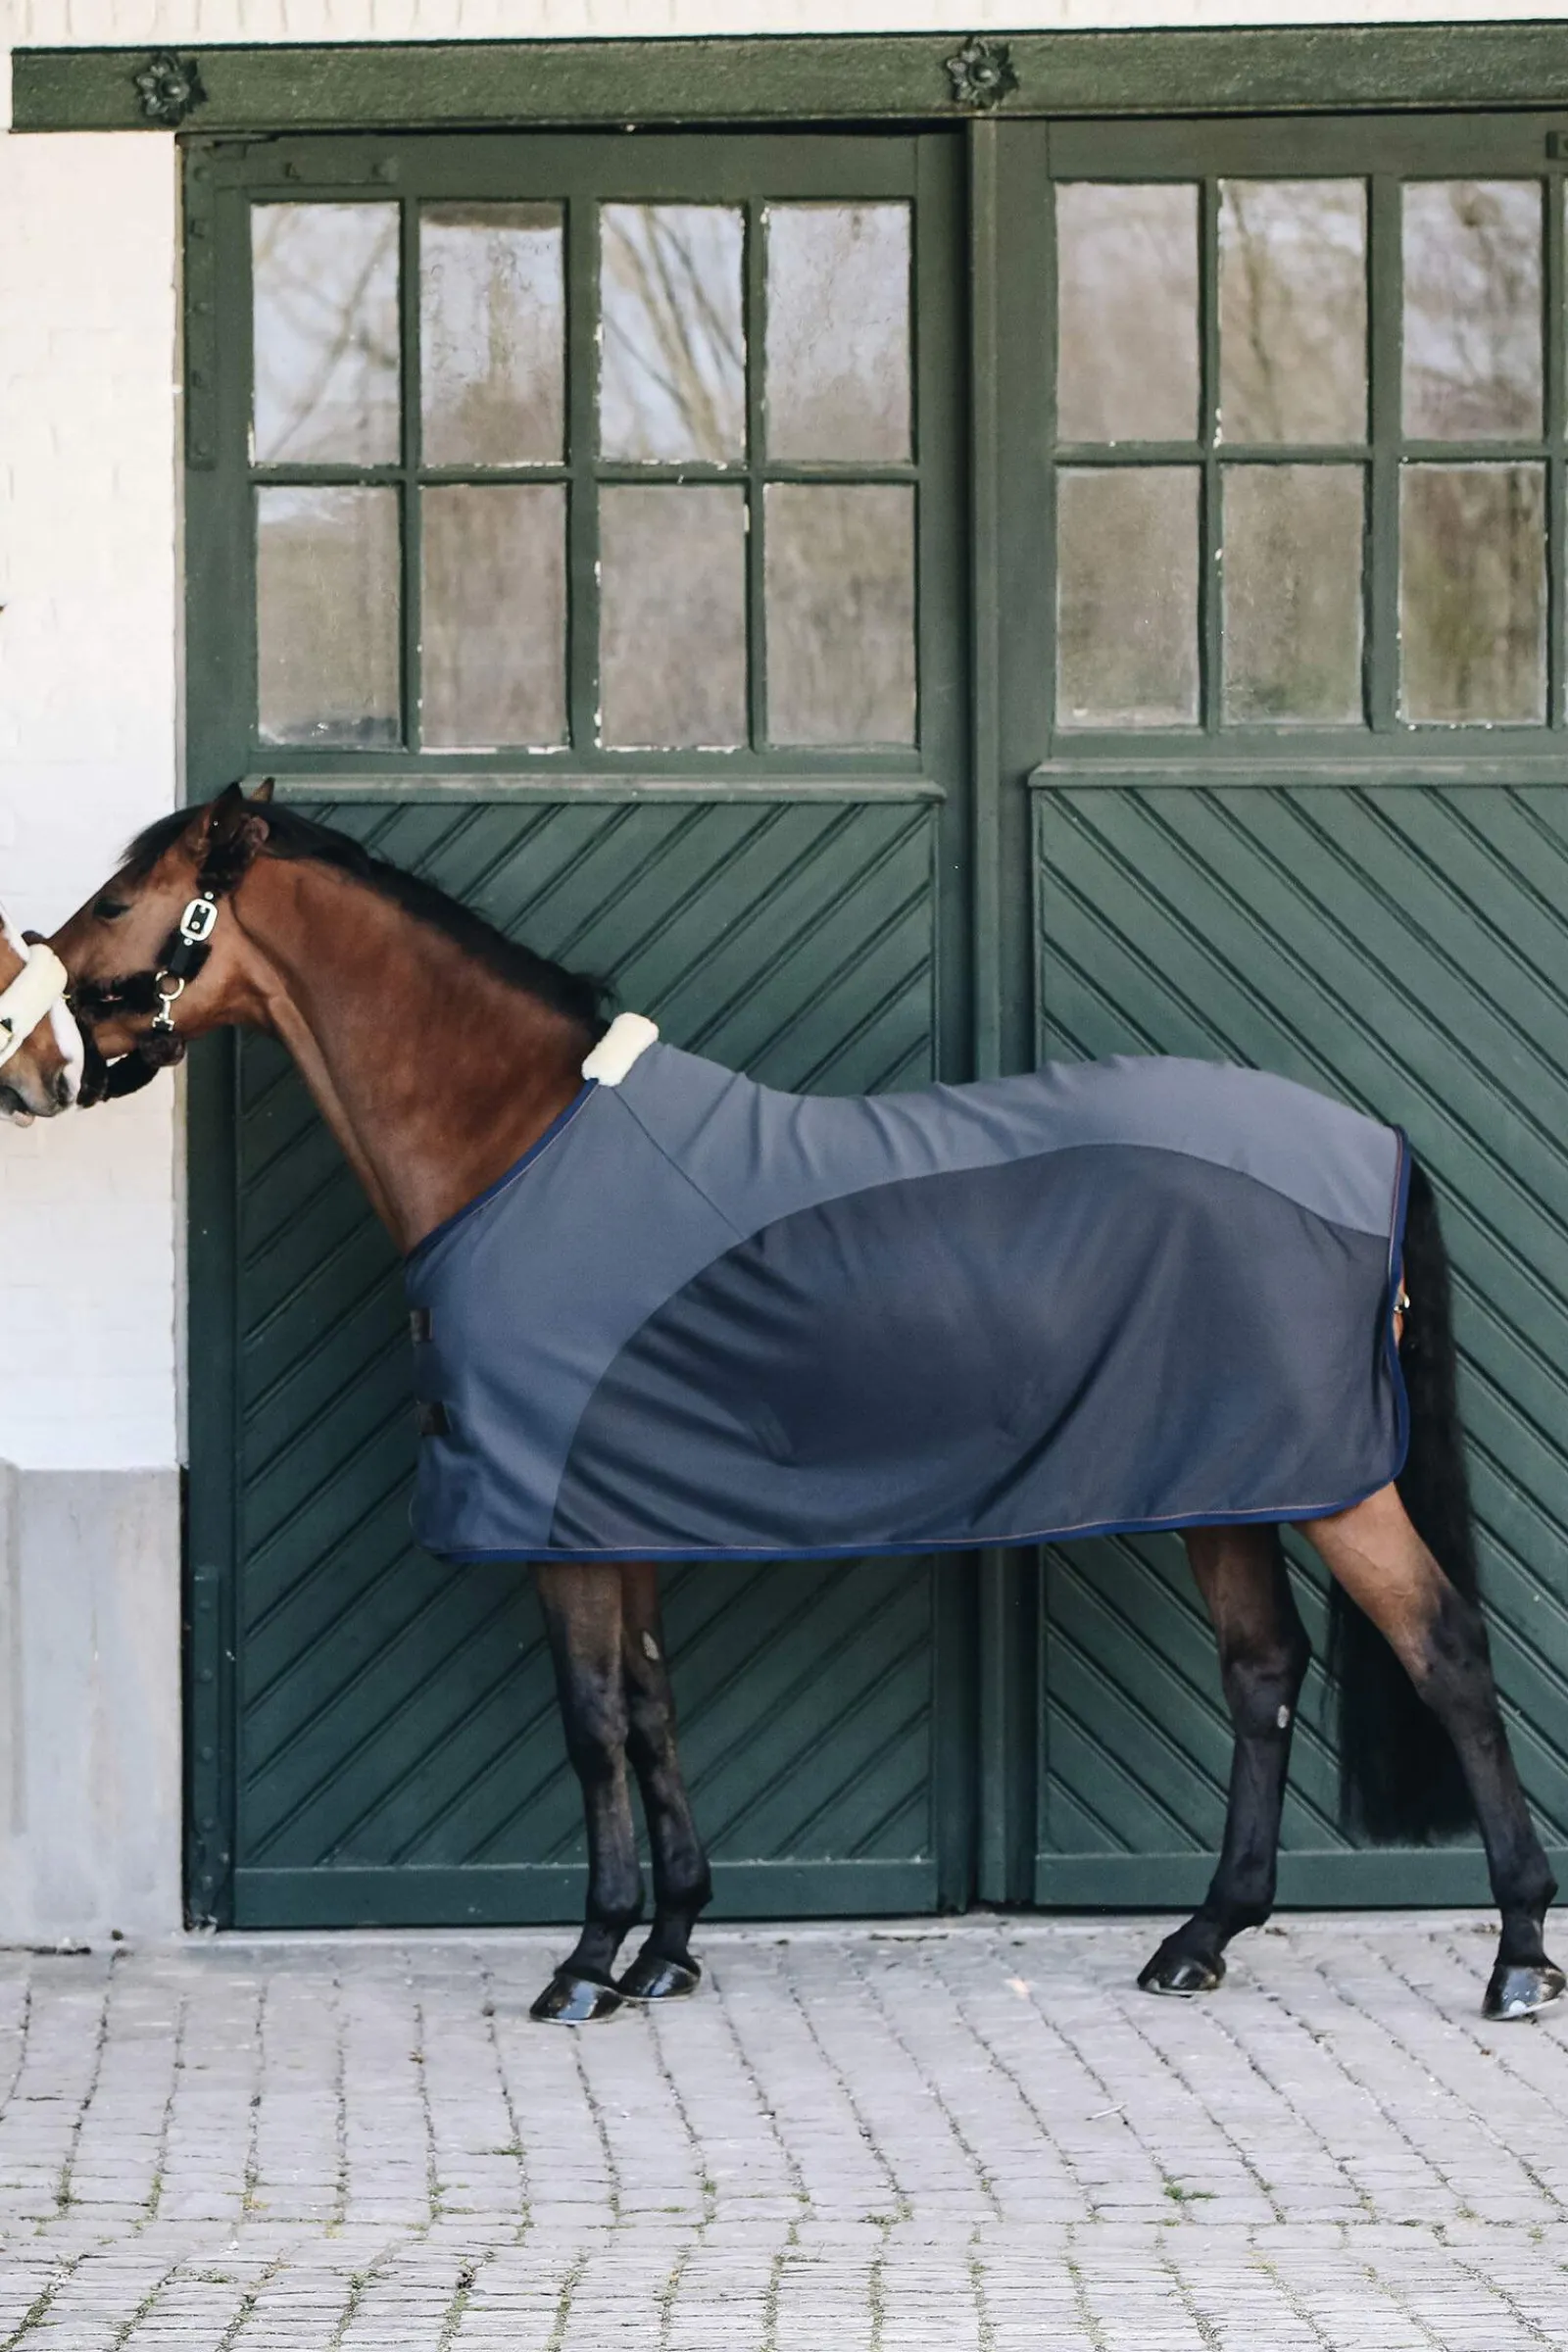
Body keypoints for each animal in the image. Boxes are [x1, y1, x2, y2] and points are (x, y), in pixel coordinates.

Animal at [41, 780, 1563, 2028]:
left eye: (116, 903)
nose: (29, 1063)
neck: (522, 1148)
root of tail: (1374, 1143)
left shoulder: (555, 1519)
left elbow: (591, 1720)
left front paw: (585, 1964)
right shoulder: (620, 1513)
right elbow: (651, 1710)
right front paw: (668, 1948)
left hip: (1330, 1484)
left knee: (1444, 1651)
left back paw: (1515, 1958)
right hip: (1231, 1480)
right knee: (1262, 1673)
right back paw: (1202, 1939)